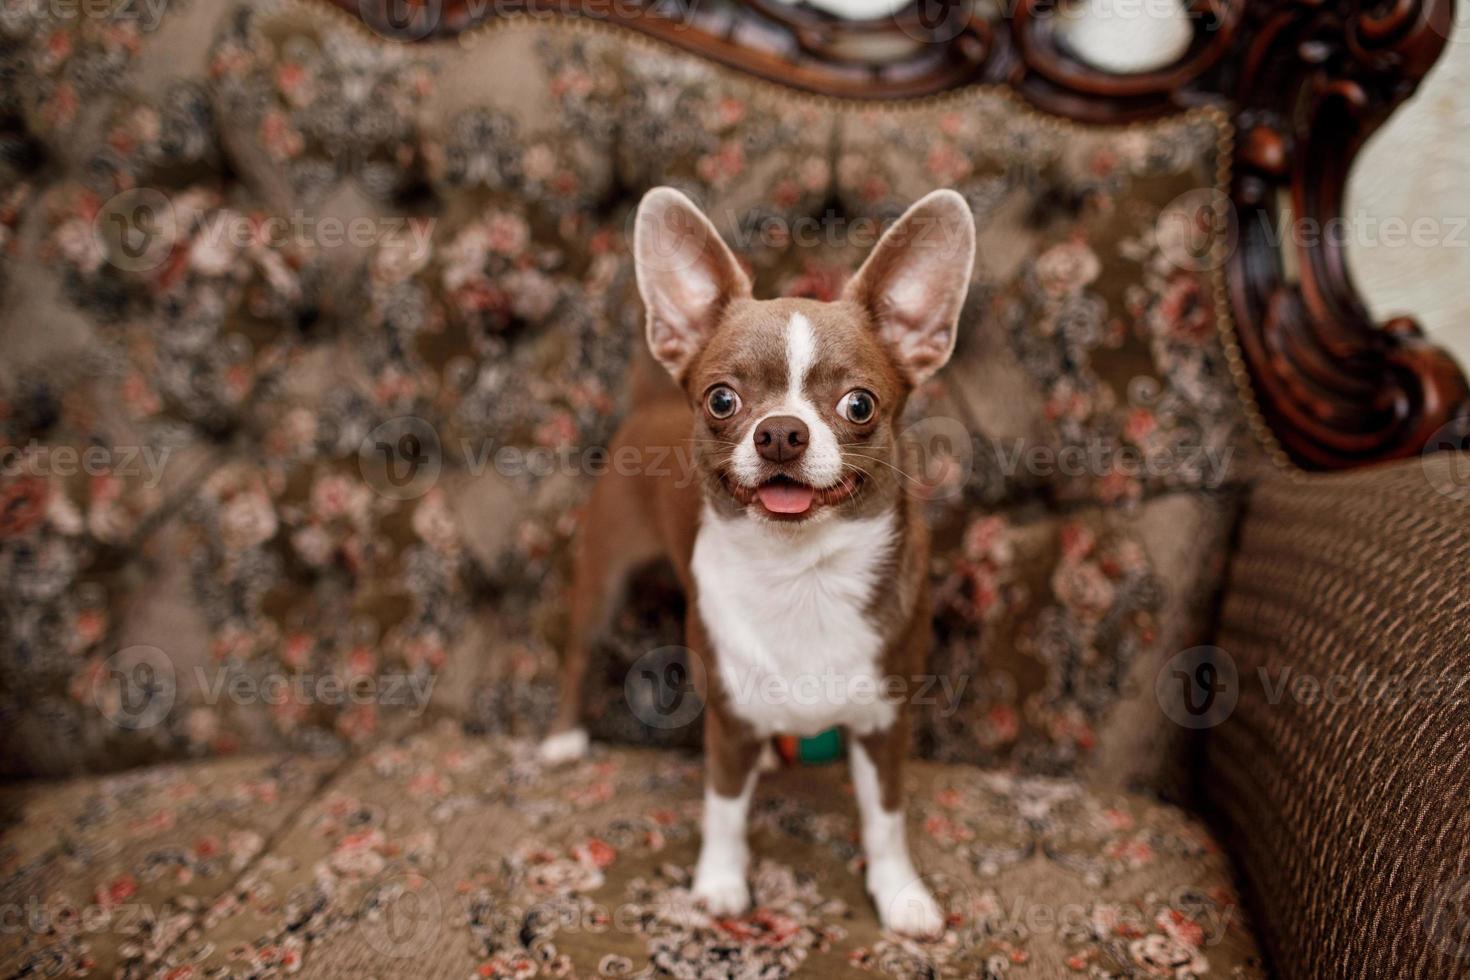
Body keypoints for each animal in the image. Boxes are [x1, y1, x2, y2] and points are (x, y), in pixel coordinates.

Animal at [540, 188, 976, 940]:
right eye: (723, 399)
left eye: (859, 404)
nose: (779, 432)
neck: (802, 577)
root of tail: (648, 402)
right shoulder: (728, 722)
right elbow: (723, 811)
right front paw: (719, 884)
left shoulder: (884, 723)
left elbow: (886, 821)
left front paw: (900, 894)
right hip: (604, 579)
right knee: (578, 654)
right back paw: (566, 739)